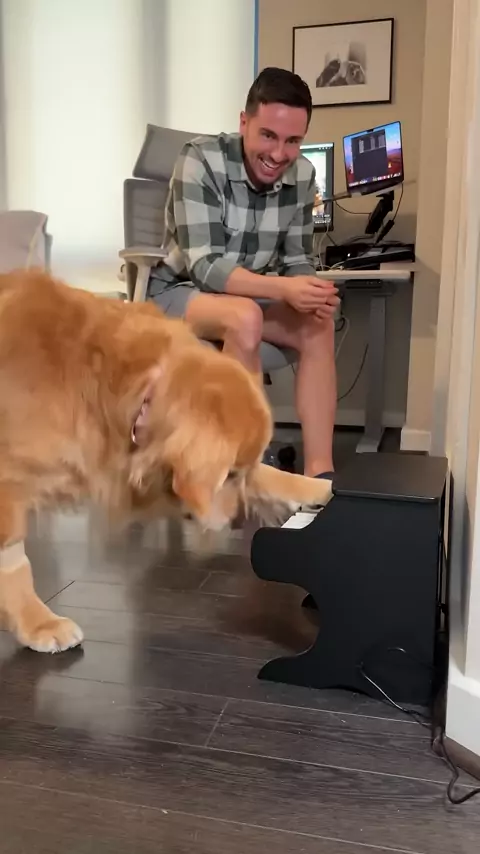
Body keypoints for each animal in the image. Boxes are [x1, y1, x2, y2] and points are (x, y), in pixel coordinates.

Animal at [0, 270, 333, 653]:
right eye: (228, 475)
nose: (236, 521)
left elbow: (274, 477)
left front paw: (324, 487)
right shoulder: (7, 489)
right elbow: (13, 561)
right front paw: (37, 623)